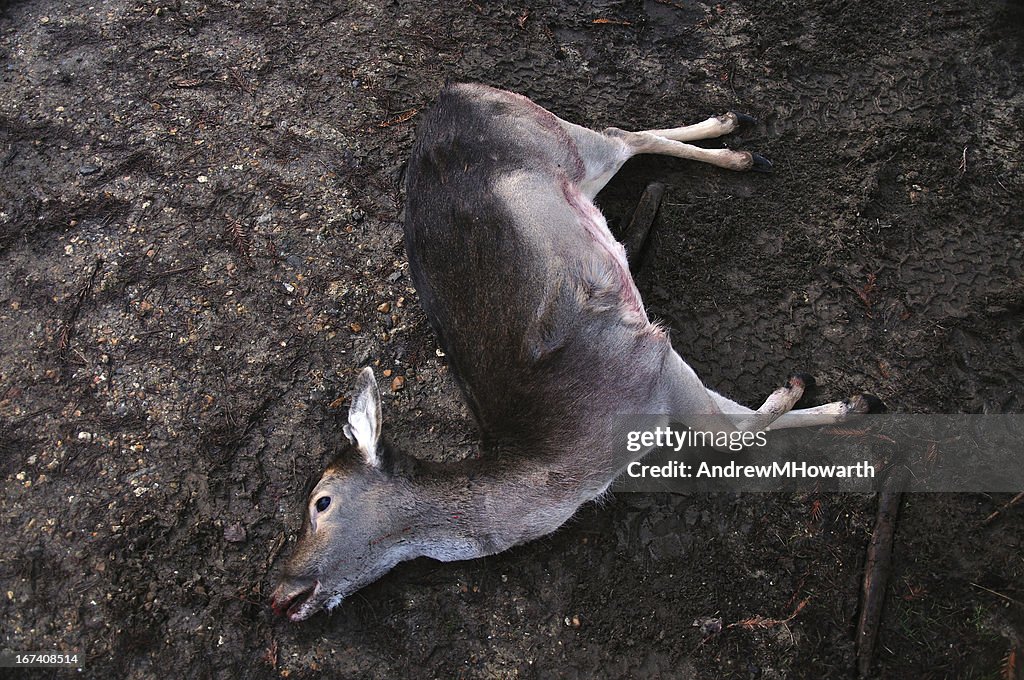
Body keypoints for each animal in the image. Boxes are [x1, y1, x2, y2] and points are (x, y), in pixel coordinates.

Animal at [266, 83, 880, 622]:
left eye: (320, 501)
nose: (277, 593)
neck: (573, 469)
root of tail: (450, 93)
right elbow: (741, 420)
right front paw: (849, 403)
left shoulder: (651, 360)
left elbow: (731, 430)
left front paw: (801, 385)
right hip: (574, 167)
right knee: (629, 139)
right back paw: (733, 132)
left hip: (562, 143)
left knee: (621, 135)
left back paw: (739, 148)